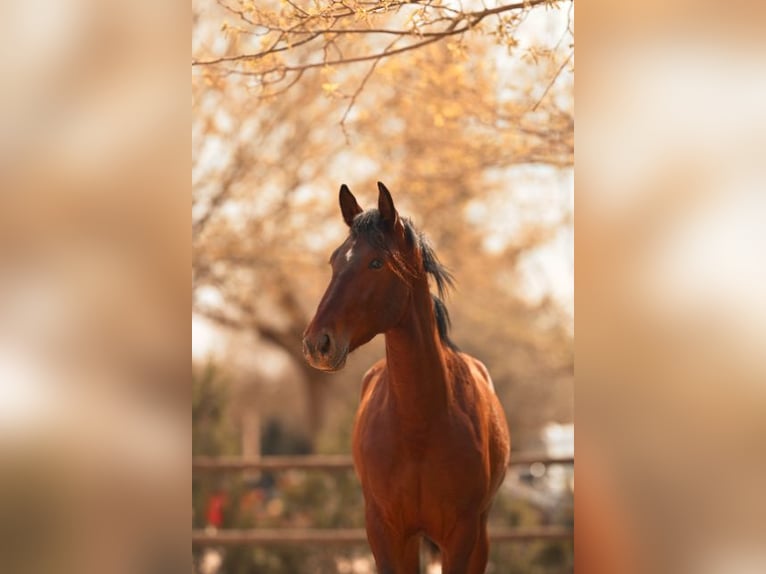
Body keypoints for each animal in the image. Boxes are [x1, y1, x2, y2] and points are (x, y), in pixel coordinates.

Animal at [303, 182, 511, 573]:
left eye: (376, 262)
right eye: (334, 261)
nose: (316, 344)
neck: (420, 425)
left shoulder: (461, 536)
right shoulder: (385, 533)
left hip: (480, 534)